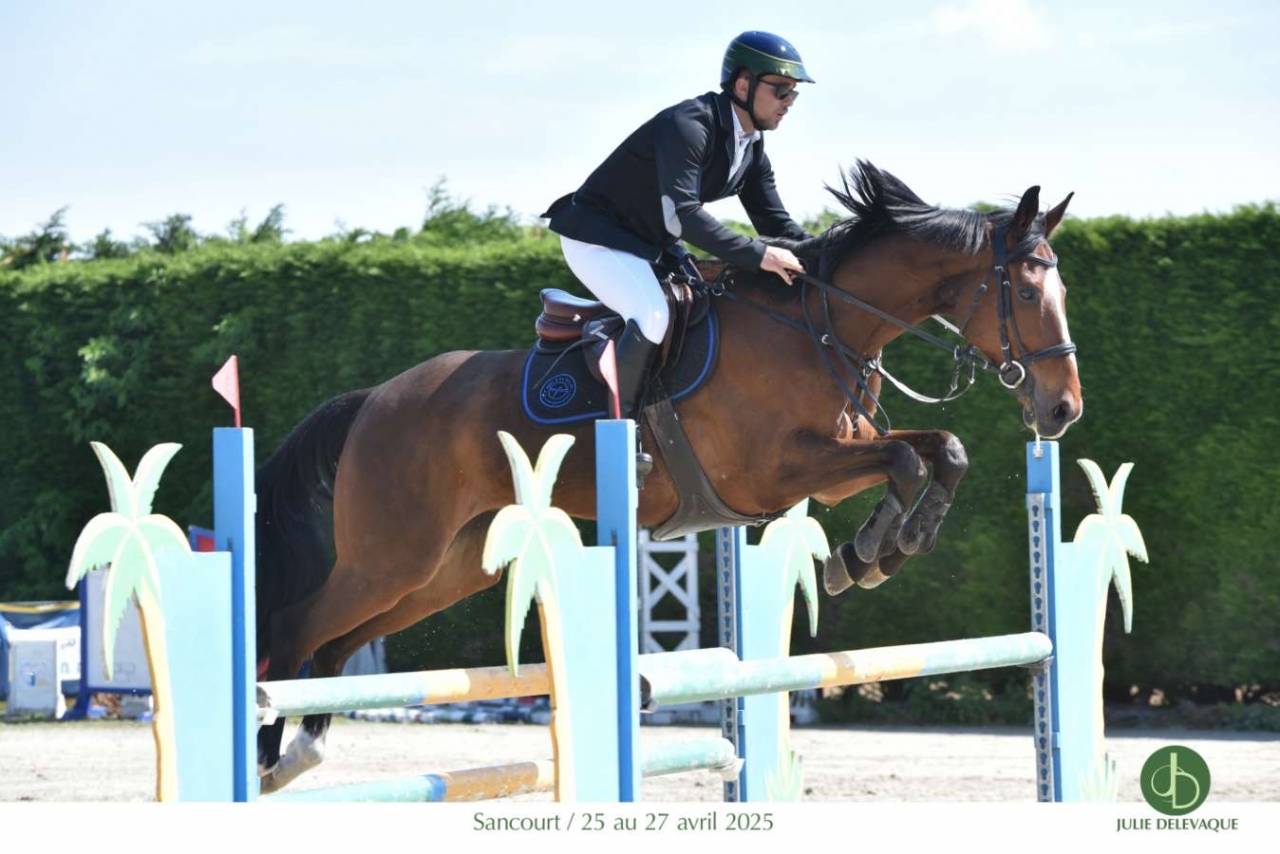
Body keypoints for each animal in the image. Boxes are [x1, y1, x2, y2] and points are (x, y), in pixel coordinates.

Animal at [253, 161, 1081, 791]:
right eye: (1026, 292)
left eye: (1064, 290)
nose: (1062, 409)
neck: (819, 327)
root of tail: (374, 399)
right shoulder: (778, 472)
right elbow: (909, 459)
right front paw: (870, 554)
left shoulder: (832, 462)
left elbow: (941, 450)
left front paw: (883, 549)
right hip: (392, 555)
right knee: (297, 631)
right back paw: (264, 753)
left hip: (441, 570)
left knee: (333, 650)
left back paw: (302, 754)